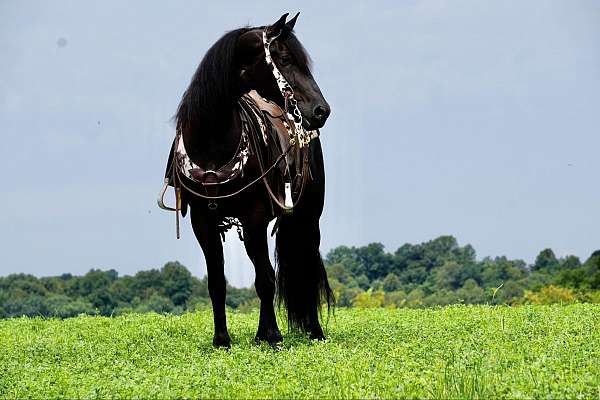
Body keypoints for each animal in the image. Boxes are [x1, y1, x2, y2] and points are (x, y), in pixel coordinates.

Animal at [163, 14, 332, 346]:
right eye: (284, 59)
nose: (321, 110)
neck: (213, 145)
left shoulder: (254, 217)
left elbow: (265, 279)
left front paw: (272, 336)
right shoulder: (202, 222)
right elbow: (217, 282)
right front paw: (222, 340)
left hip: (307, 216)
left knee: (304, 264)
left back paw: (313, 331)